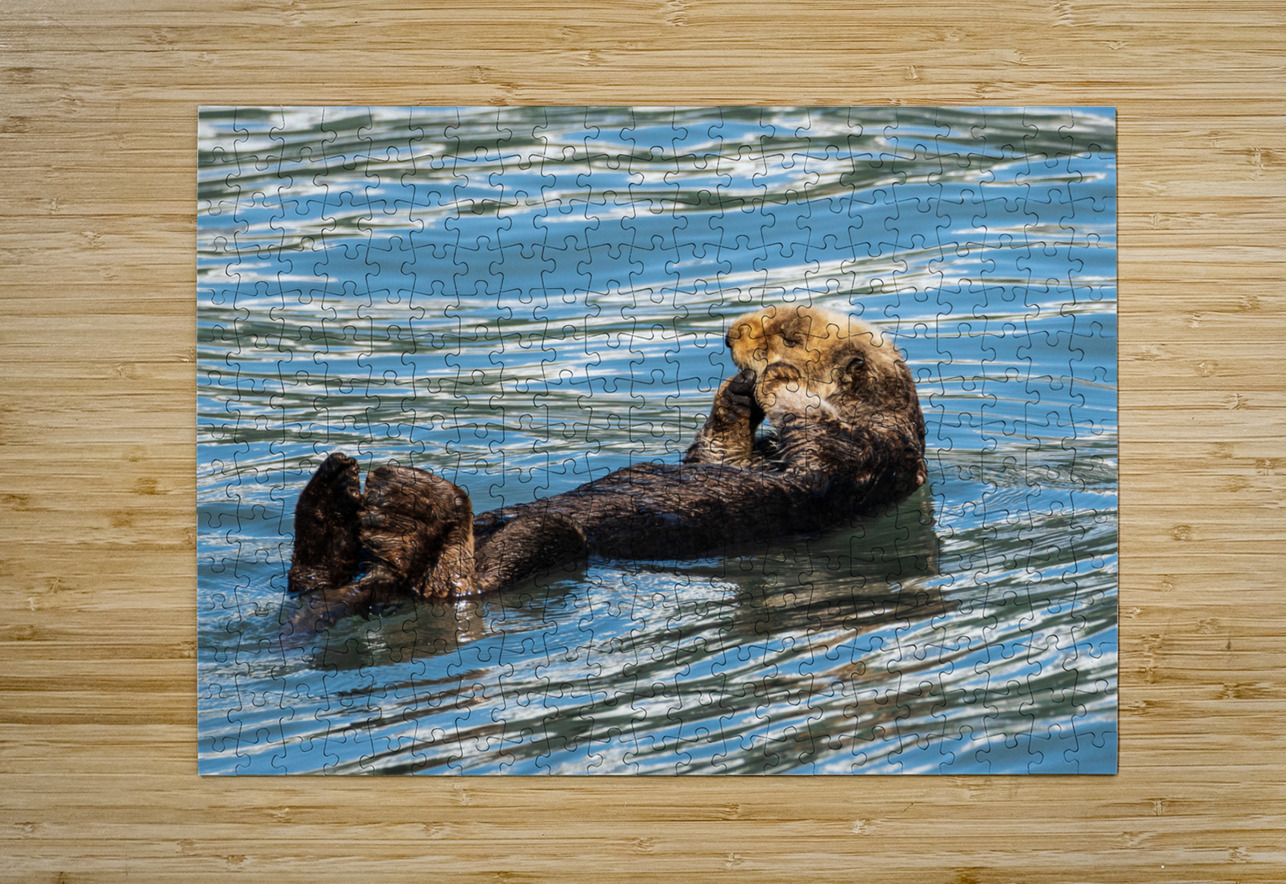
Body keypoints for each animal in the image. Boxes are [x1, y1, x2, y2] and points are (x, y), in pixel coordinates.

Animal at [285, 304, 927, 629]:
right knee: (314, 580)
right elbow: (718, 452)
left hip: (546, 543)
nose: (730, 335)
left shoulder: (866, 454)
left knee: (456, 583)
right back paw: (332, 494)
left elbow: (816, 435)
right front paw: (735, 394)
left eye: (791, 333)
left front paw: (777, 379)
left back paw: (413, 507)